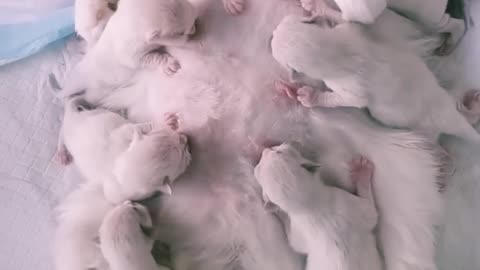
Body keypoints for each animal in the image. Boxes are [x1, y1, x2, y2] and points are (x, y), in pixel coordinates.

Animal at [62, 0, 197, 98]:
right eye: (180, 33)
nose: (195, 25)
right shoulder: (132, 53)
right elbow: (146, 59)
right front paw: (169, 65)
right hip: (99, 86)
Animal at [270, 15, 480, 143]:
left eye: (275, 35)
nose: (271, 35)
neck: (340, 52)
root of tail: (449, 118)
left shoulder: (351, 88)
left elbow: (347, 100)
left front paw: (309, 96)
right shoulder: (351, 30)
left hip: (427, 128)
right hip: (445, 95)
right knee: (460, 108)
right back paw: (472, 104)